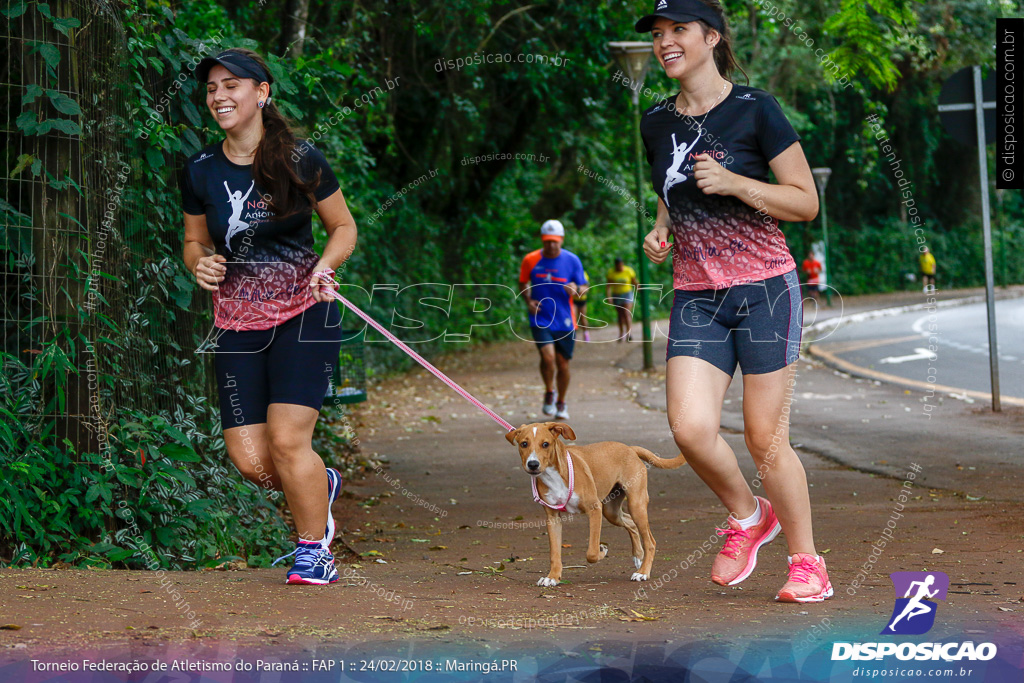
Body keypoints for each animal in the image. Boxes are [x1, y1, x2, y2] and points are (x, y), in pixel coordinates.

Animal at [503, 421, 688, 589]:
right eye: (524, 444)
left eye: (545, 444)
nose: (533, 464)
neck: (554, 475)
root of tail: (630, 448)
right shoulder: (553, 518)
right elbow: (554, 553)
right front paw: (552, 577)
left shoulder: (594, 509)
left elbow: (591, 552)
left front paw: (602, 551)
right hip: (611, 511)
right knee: (630, 523)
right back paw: (638, 557)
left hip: (636, 504)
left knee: (650, 541)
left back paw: (643, 572)